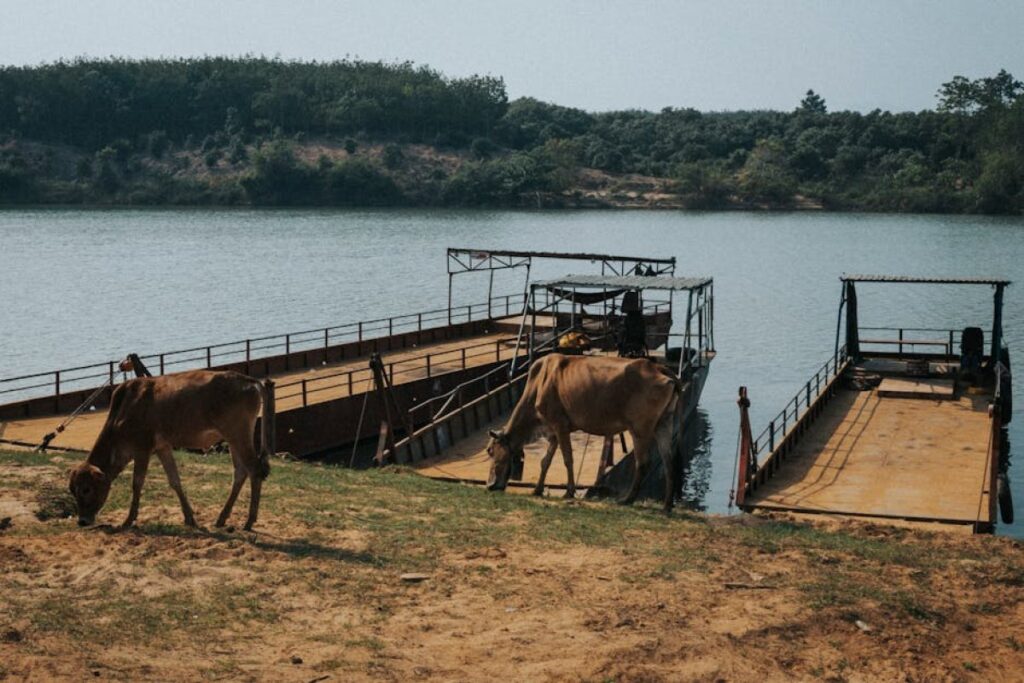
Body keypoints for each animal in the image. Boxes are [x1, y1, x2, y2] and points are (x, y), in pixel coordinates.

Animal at [68, 370, 270, 530]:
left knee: (254, 470)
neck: (123, 412)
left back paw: (249, 521)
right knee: (240, 472)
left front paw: (128, 520)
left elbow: (137, 483)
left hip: (237, 433)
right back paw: (222, 518)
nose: (82, 521)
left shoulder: (142, 449)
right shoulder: (162, 447)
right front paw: (189, 518)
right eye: (72, 490)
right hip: (233, 438)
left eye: (86, 489)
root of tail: (247, 379)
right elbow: (174, 481)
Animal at [486, 353, 681, 512]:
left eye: (490, 451)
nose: (489, 485)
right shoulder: (553, 431)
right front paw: (537, 489)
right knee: (668, 461)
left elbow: (567, 459)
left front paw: (569, 492)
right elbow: (545, 461)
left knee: (643, 463)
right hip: (664, 423)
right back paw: (667, 505)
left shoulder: (560, 425)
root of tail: (658, 367)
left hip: (640, 428)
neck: (539, 384)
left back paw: (628, 499)